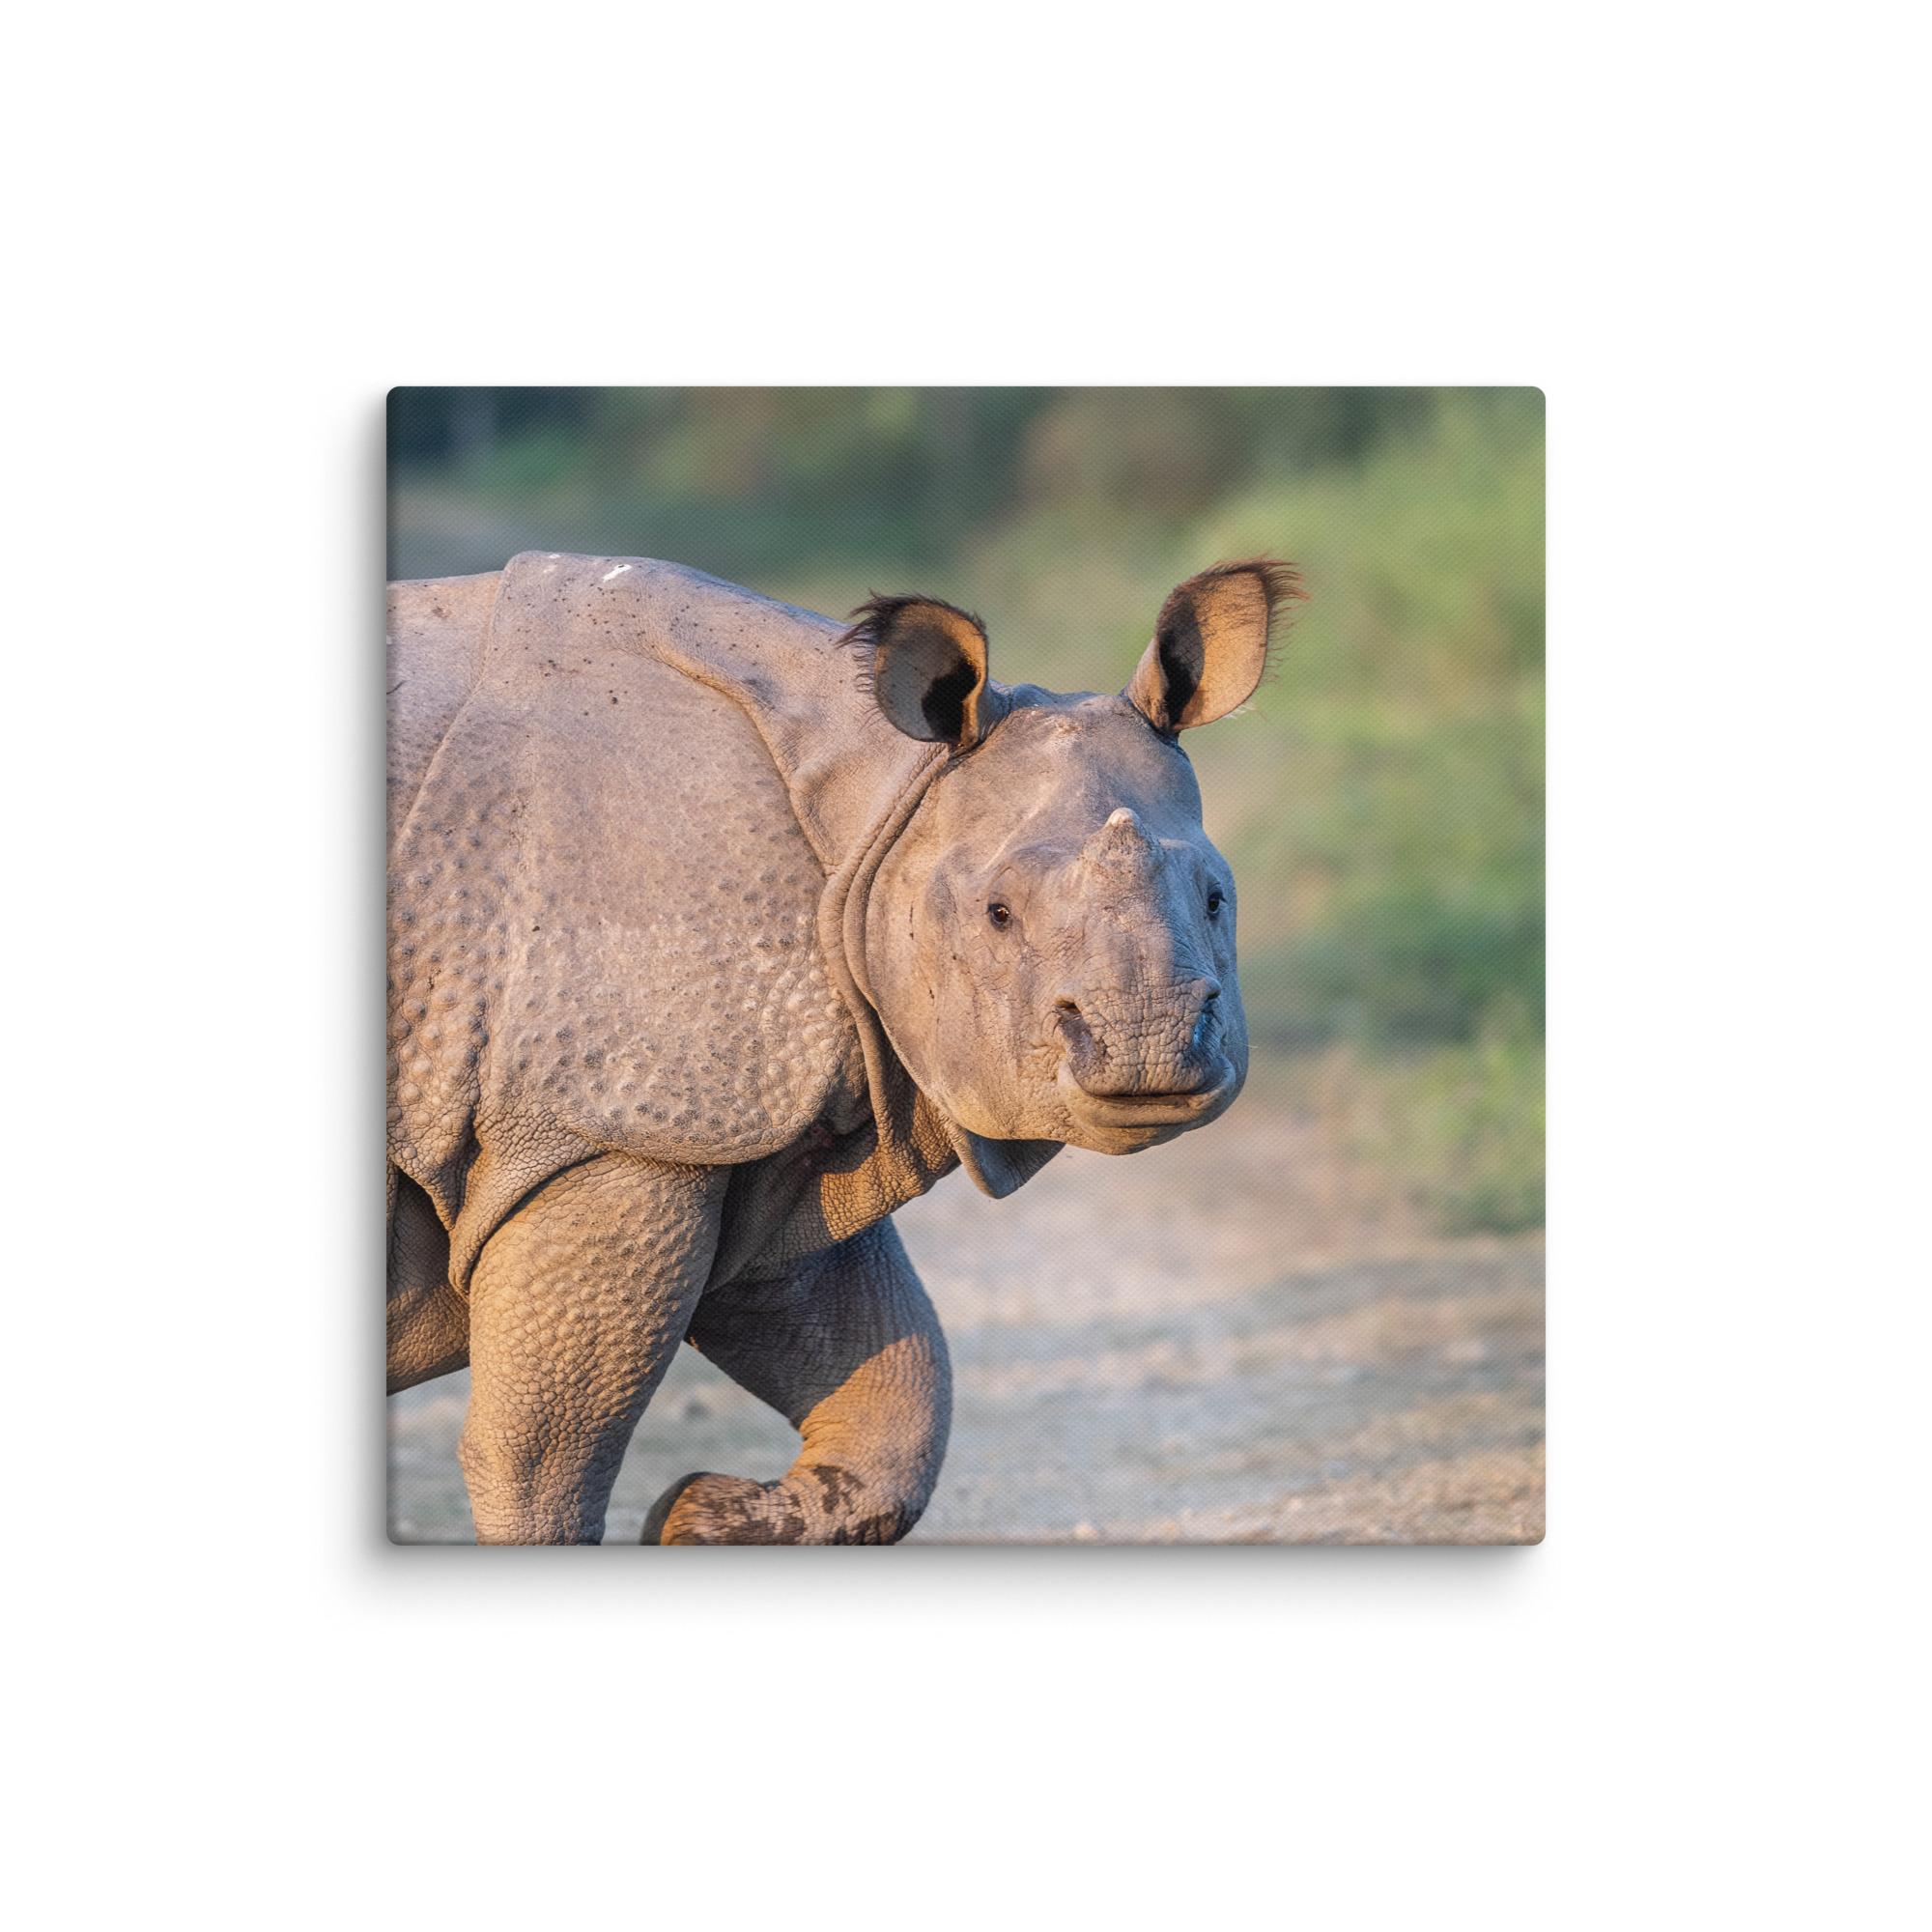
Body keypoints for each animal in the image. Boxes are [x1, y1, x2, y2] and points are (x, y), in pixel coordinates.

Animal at [387, 550, 1298, 1544]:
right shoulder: (612, 1131)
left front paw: (696, 1515)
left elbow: (894, 1397)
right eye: (998, 914)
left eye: (1216, 899)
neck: (882, 803)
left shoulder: (745, 1132)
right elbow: (545, 1460)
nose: (1148, 1046)